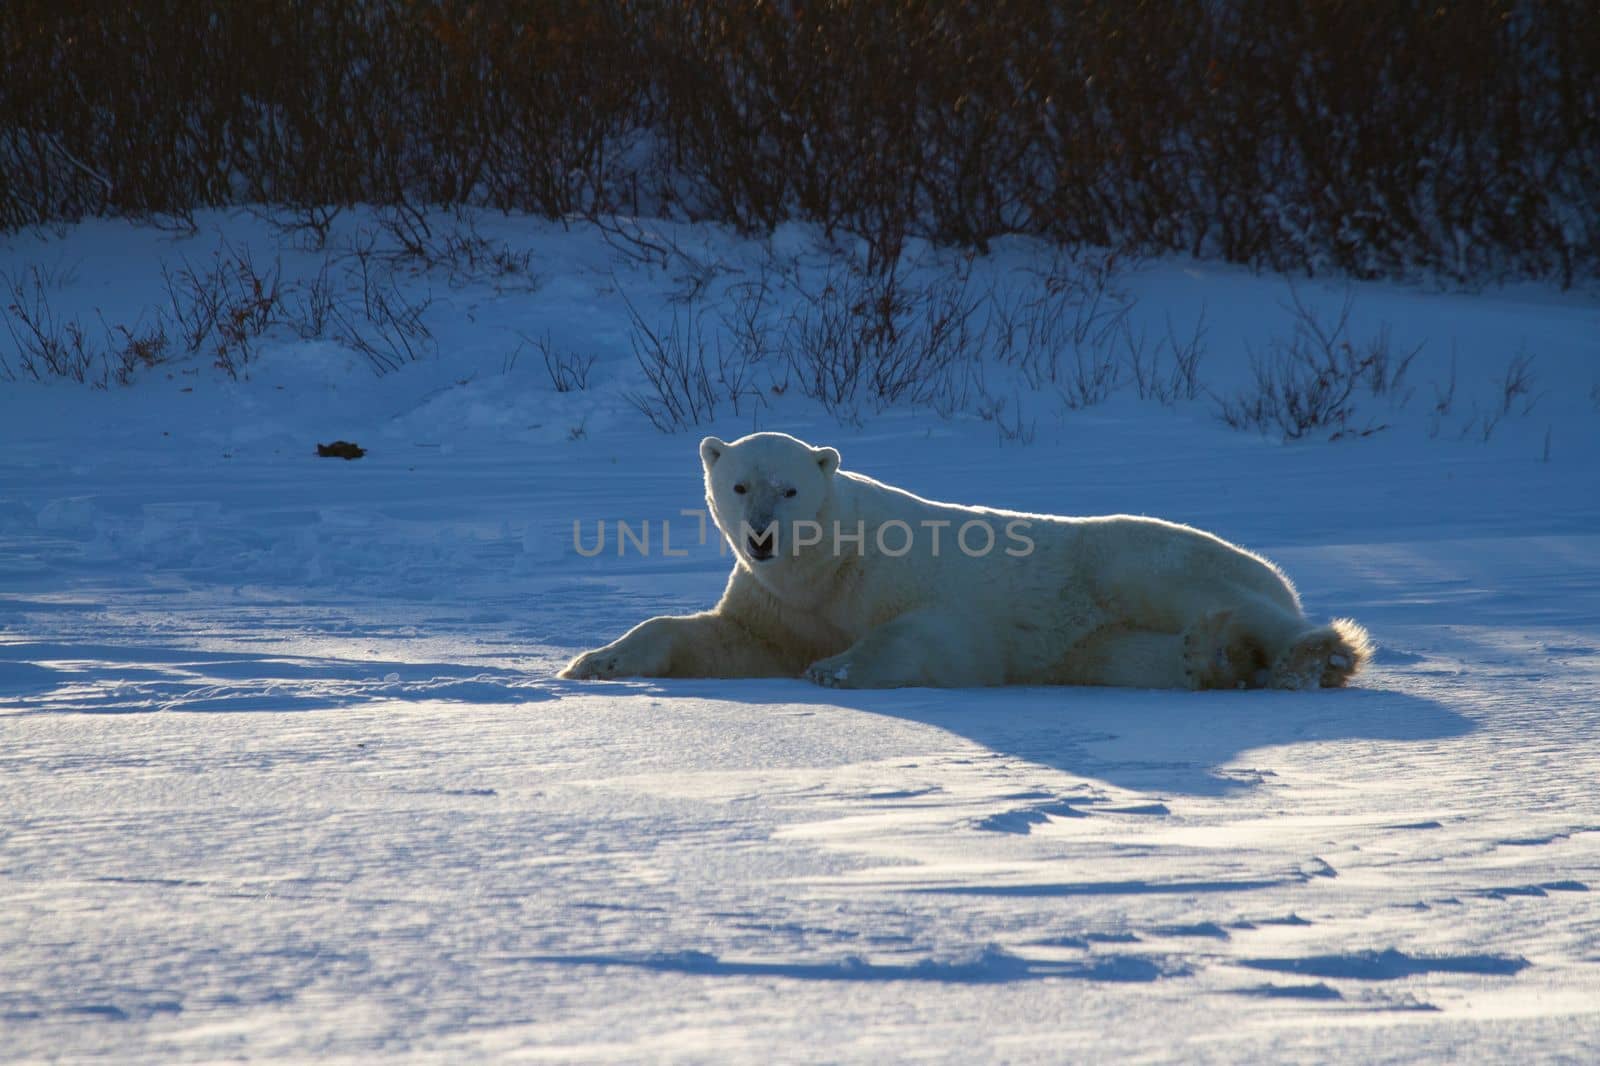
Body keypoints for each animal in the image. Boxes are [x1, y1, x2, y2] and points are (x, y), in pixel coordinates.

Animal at [556, 432, 1369, 688]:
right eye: (738, 484)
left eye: (789, 488)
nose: (760, 537)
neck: (829, 562)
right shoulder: (780, 605)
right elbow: (727, 639)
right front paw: (594, 660)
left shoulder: (902, 576)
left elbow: (933, 634)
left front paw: (835, 669)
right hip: (1099, 645)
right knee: (1138, 658)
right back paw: (1216, 657)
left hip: (1127, 559)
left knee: (1185, 584)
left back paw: (1315, 654)